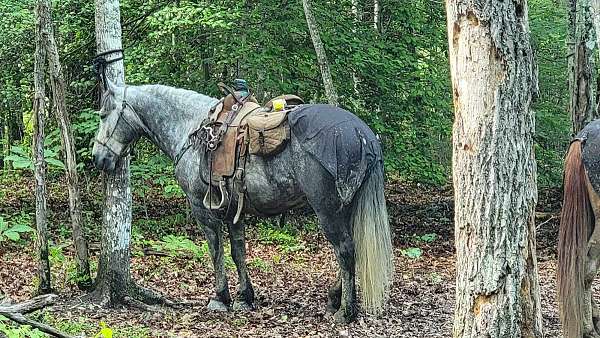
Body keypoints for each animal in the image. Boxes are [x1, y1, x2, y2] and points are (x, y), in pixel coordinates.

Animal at [90, 80, 394, 324]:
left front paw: (220, 297)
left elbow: (215, 250)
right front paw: (245, 297)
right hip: (347, 207)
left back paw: (346, 311)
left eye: (104, 115)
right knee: (351, 248)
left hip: (327, 210)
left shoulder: (202, 208)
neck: (192, 129)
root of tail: (363, 136)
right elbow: (238, 252)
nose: (98, 158)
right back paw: (334, 299)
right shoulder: (233, 210)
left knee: (345, 249)